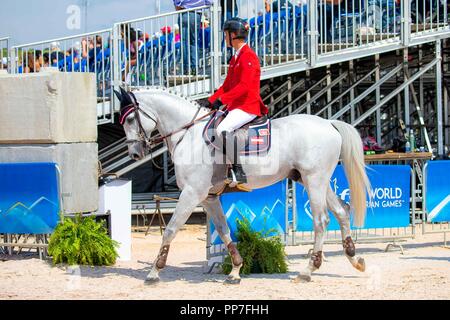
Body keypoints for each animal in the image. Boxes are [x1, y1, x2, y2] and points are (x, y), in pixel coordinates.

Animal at [114, 86, 370, 284]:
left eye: (130, 119)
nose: (135, 154)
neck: (189, 134)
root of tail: (328, 123)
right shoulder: (209, 197)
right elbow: (223, 230)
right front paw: (236, 270)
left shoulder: (191, 194)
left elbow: (170, 229)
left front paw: (154, 272)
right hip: (315, 180)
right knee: (341, 211)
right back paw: (355, 259)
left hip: (314, 180)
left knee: (321, 220)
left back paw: (308, 271)